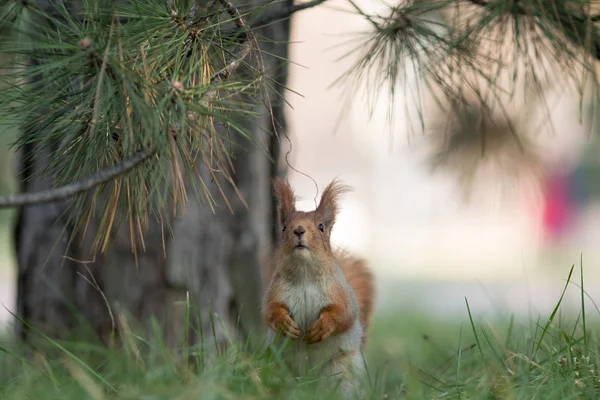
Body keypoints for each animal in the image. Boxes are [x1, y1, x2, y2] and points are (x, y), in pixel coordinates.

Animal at [262, 180, 376, 398]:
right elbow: (269, 311)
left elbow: (343, 314)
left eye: (321, 227)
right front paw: (284, 323)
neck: (305, 273)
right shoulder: (275, 291)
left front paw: (322, 327)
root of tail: (307, 381)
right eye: (283, 227)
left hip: (341, 372)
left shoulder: (341, 292)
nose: (298, 230)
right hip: (277, 368)